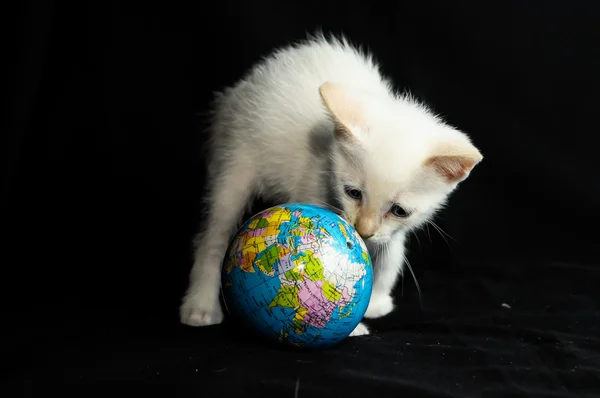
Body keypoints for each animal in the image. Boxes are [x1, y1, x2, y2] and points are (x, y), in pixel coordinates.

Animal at [179, 33, 482, 336]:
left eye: (399, 210)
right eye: (353, 193)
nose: (363, 230)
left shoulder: (393, 231)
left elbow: (391, 254)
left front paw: (377, 300)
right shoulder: (312, 184)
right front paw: (350, 324)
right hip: (237, 157)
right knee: (215, 232)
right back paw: (200, 305)